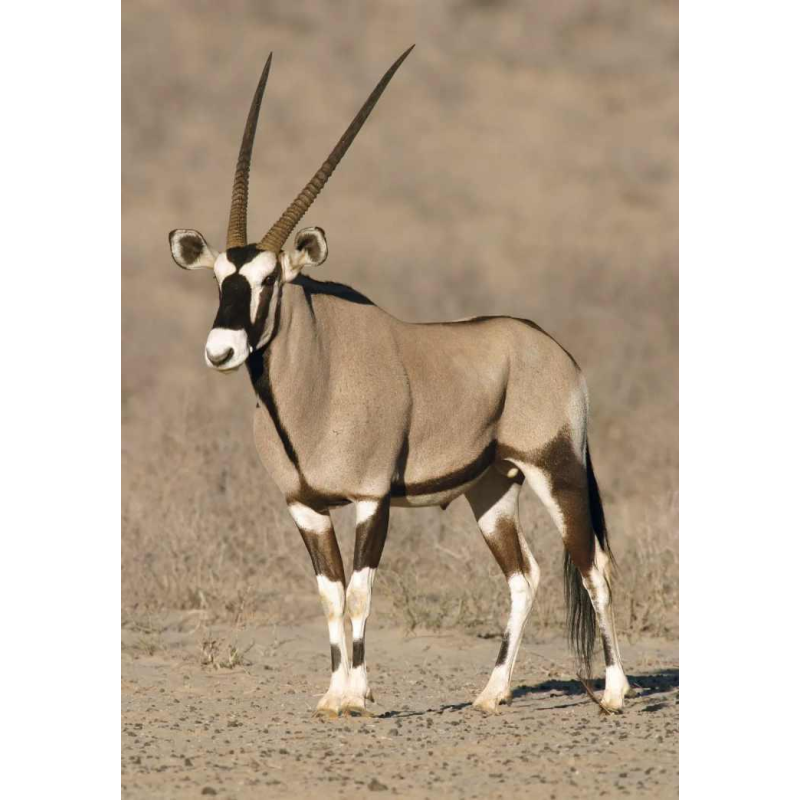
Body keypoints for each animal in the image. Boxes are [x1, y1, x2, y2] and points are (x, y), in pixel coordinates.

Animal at [168, 47, 631, 717]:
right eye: (218, 279)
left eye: (268, 280)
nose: (221, 350)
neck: (315, 377)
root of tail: (554, 348)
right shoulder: (305, 506)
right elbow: (331, 594)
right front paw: (334, 693)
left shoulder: (371, 498)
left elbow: (361, 592)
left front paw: (357, 696)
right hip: (492, 489)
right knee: (525, 575)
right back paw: (491, 692)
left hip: (556, 469)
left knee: (592, 565)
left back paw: (617, 691)